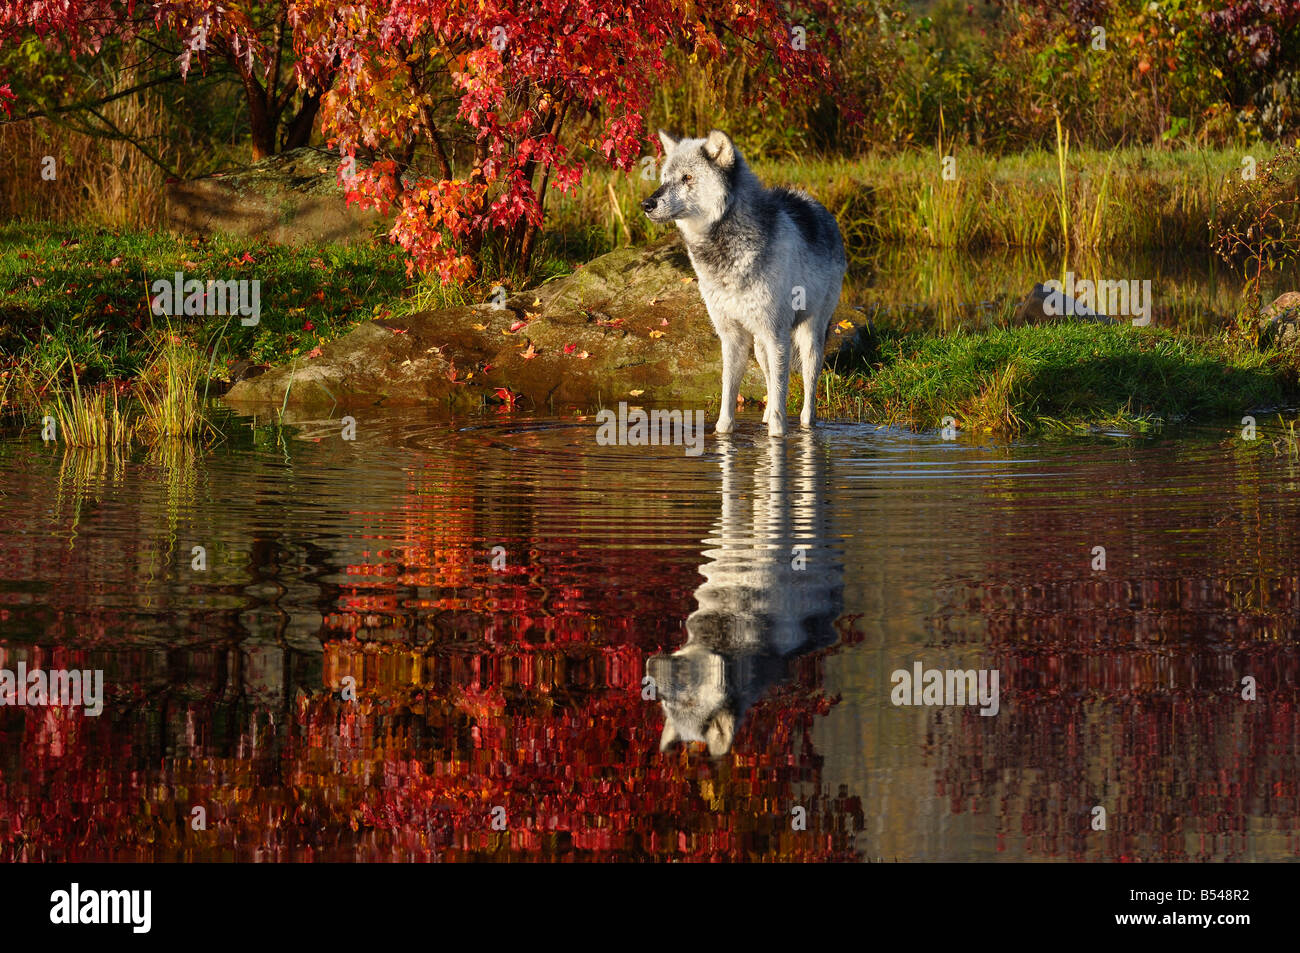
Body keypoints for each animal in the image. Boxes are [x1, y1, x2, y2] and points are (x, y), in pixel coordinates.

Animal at [642, 130, 847, 434]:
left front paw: (777, 433)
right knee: (769, 381)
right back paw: (765, 416)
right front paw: (724, 431)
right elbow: (729, 395)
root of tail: (814, 203)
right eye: (665, 178)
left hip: (807, 336)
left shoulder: (776, 334)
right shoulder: (732, 337)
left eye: (688, 177)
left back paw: (805, 422)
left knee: (807, 388)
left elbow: (781, 394)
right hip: (760, 345)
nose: (646, 204)